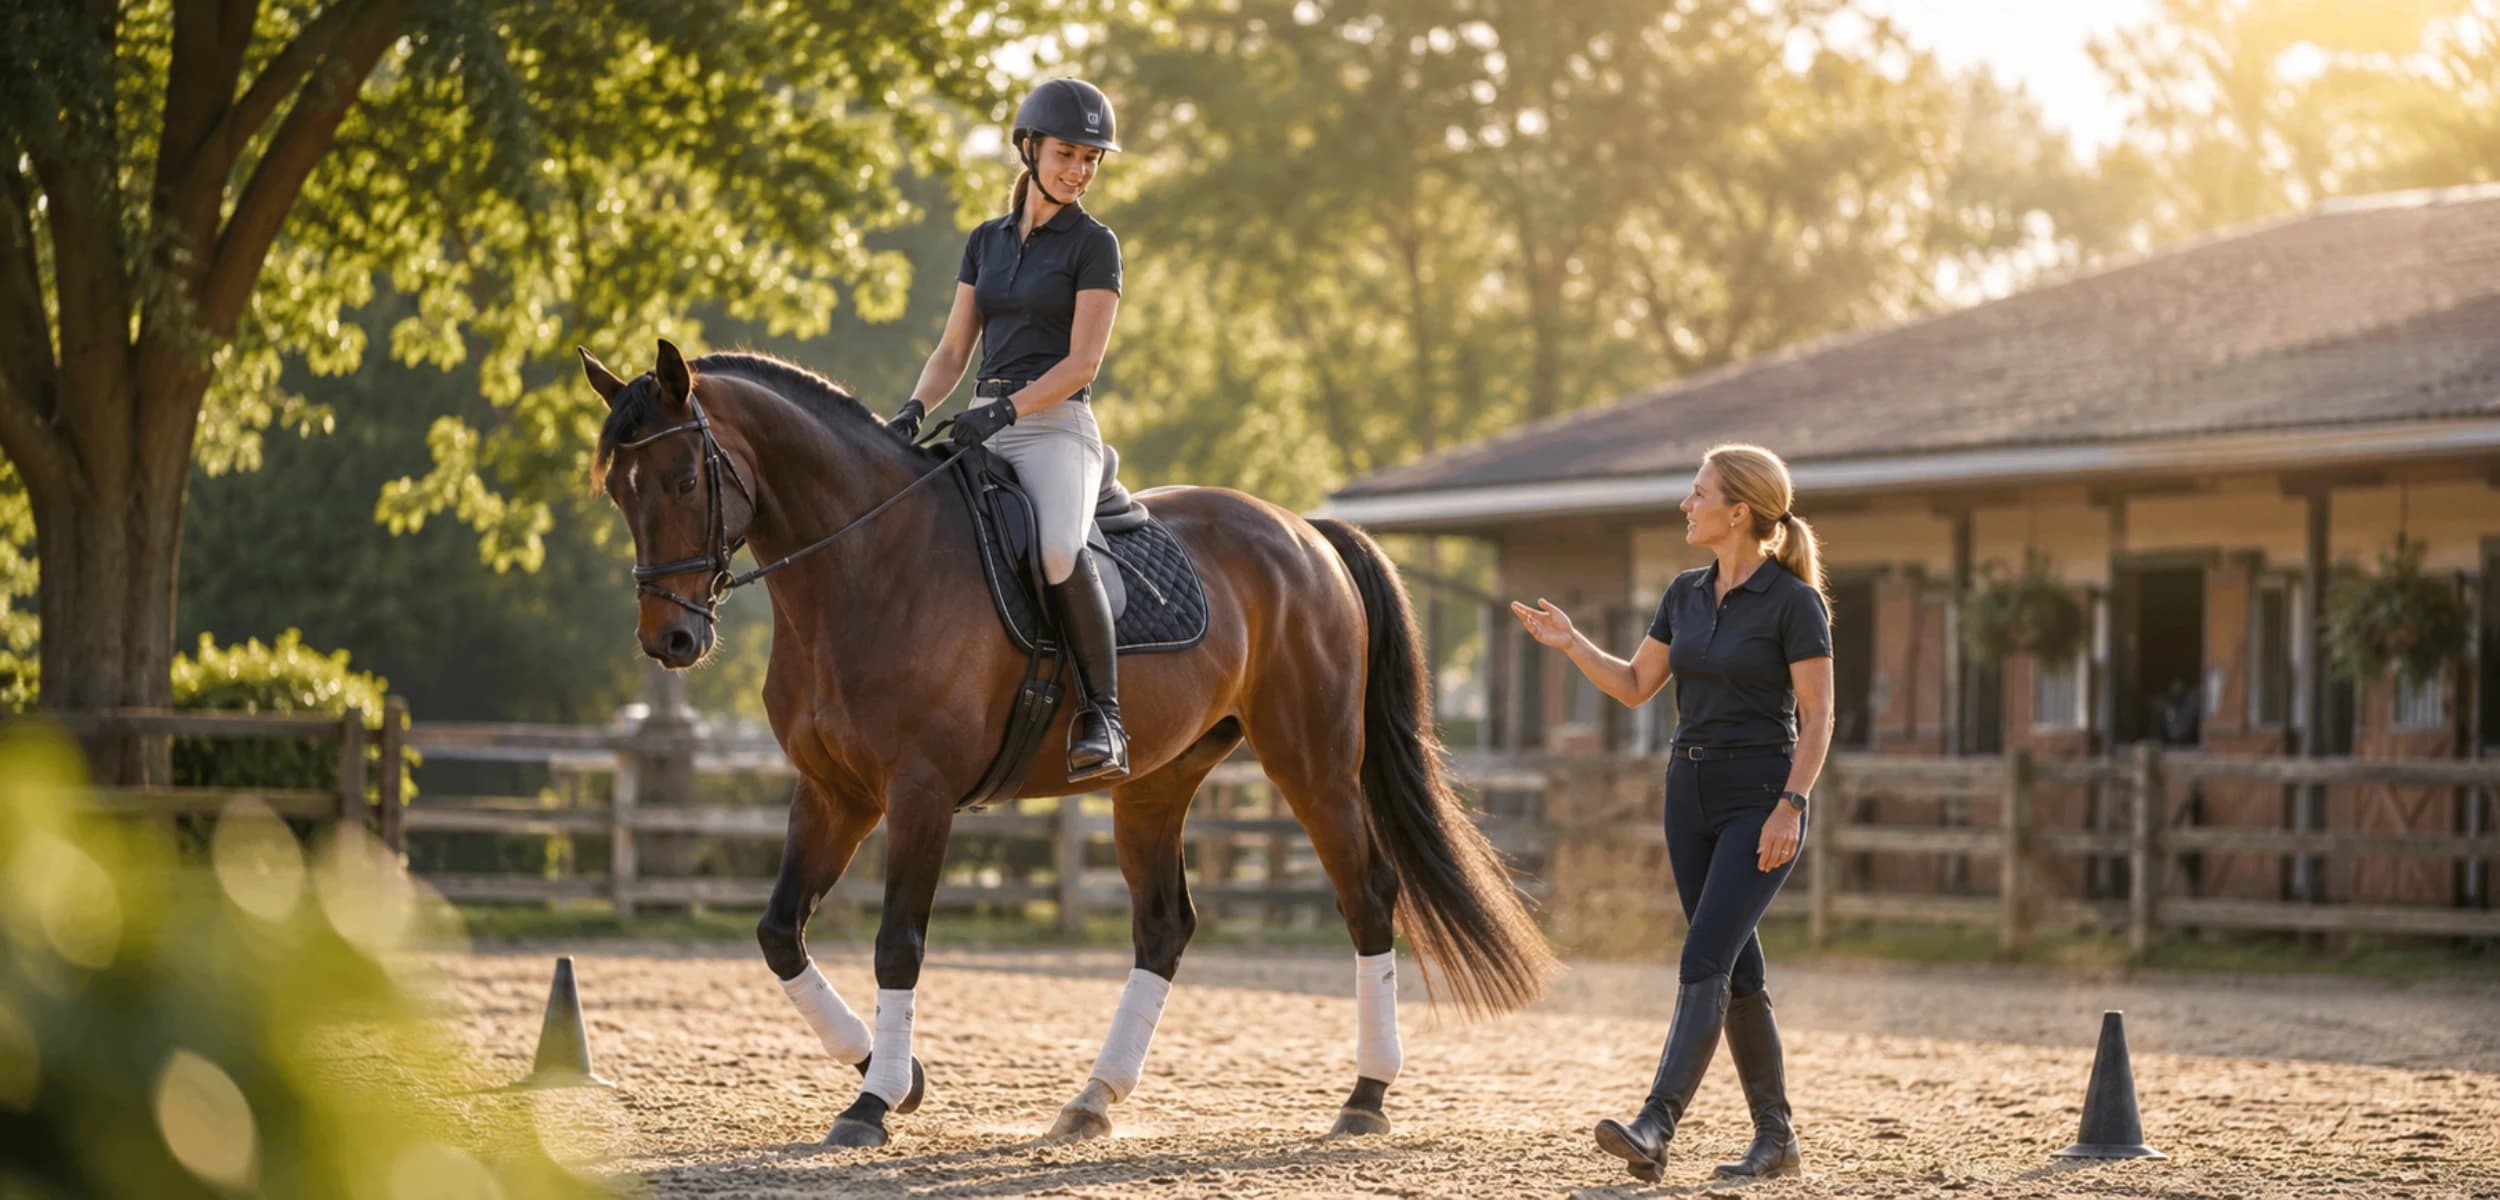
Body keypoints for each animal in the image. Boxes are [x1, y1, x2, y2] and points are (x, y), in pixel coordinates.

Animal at [581, 339, 1556, 1147]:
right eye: (619, 490)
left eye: (681, 478)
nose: (670, 641)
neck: (864, 565)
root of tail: (1303, 533)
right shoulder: (833, 793)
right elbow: (780, 933)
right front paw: (898, 1077)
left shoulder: (920, 794)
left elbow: (899, 942)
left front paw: (873, 1102)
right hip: (1157, 782)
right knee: (1163, 927)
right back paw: (1092, 1100)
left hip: (1311, 761)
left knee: (1368, 895)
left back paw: (1365, 1096)